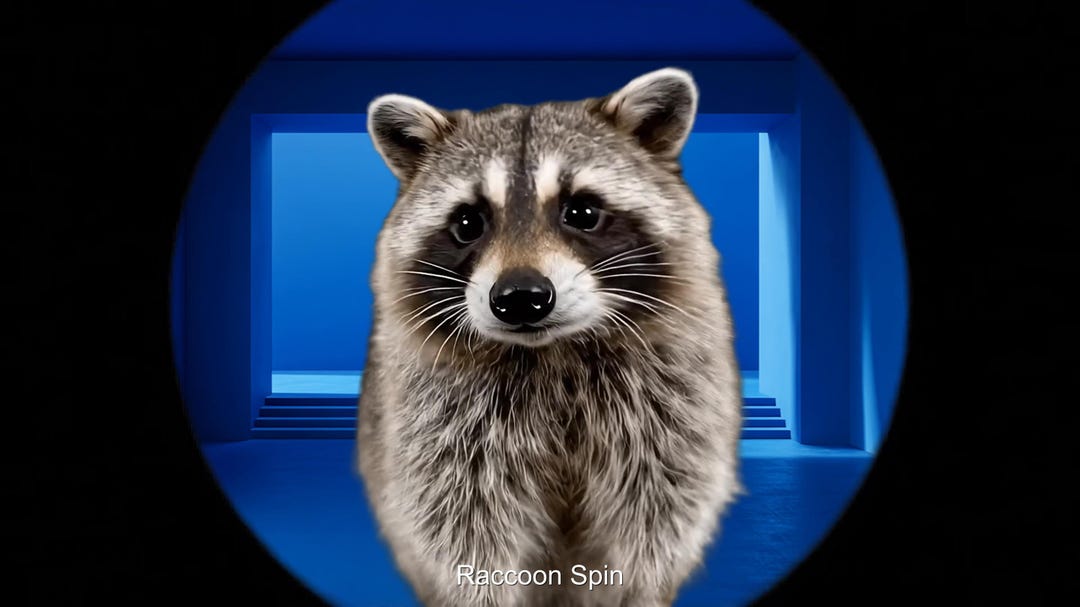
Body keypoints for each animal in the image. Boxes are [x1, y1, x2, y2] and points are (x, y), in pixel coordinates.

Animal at [356, 68, 744, 607]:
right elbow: (462, 534)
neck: (552, 354)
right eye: (468, 222)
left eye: (582, 212)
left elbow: (655, 523)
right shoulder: (442, 428)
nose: (521, 298)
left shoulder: (671, 414)